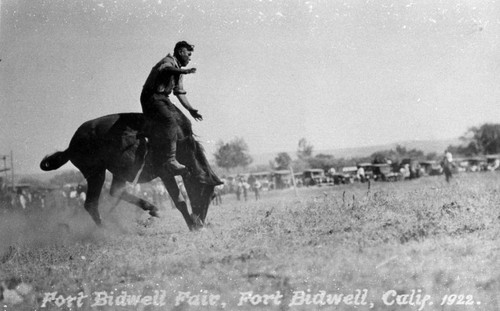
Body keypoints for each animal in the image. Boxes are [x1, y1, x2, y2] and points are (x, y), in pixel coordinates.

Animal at [40, 113, 224, 230]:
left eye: (212, 195)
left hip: (118, 172)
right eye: (203, 191)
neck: (179, 143)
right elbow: (179, 201)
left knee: (115, 192)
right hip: (96, 174)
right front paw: (192, 226)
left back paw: (151, 208)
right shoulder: (166, 174)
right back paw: (106, 230)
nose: (200, 222)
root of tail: (70, 147)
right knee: (91, 203)